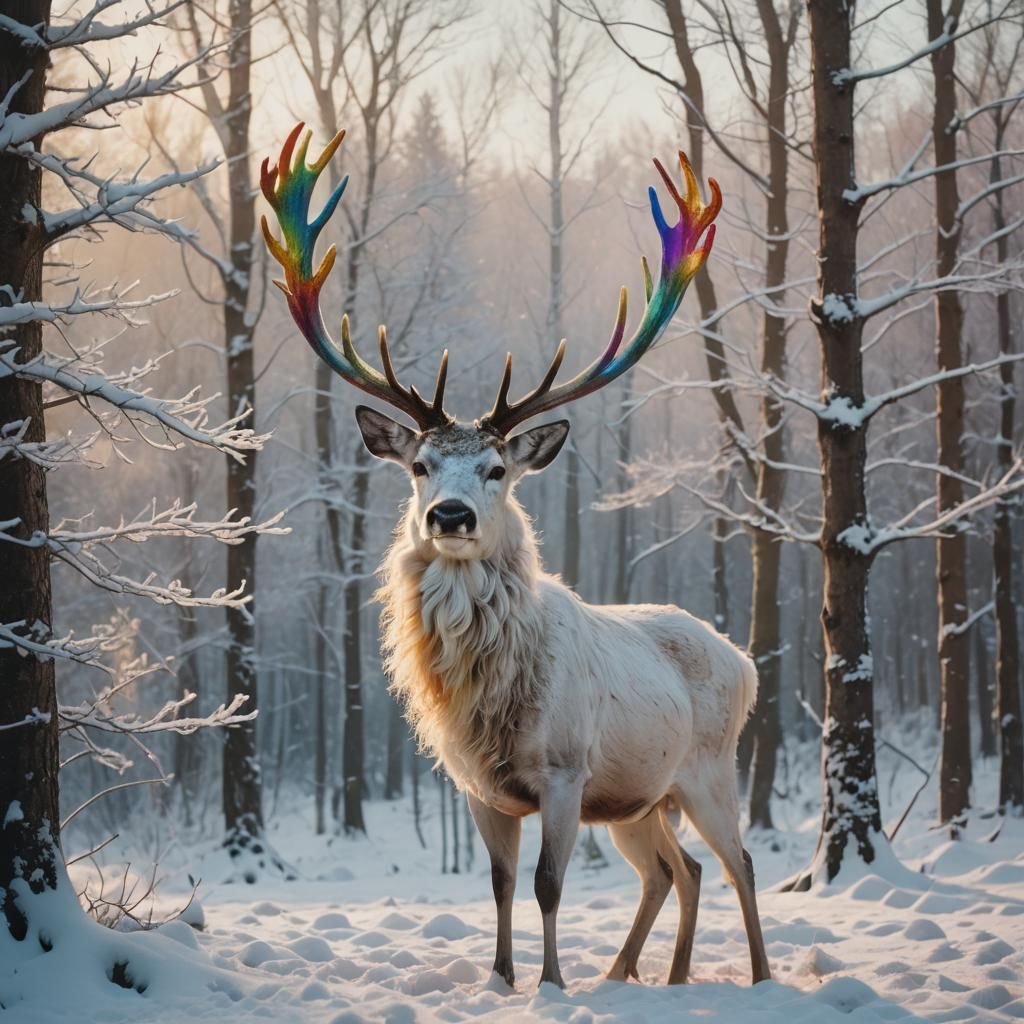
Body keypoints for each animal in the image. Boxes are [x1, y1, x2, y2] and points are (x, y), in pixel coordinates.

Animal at [260, 123, 771, 991]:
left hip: (708, 769)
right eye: (420, 464)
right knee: (678, 870)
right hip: (641, 798)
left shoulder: (564, 769)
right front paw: (501, 979)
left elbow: (547, 883)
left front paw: (551, 984)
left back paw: (758, 977)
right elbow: (498, 884)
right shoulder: (479, 787)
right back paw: (645, 976)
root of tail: (744, 659)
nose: (451, 515)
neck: (487, 695)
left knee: (738, 864)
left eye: (498, 468)